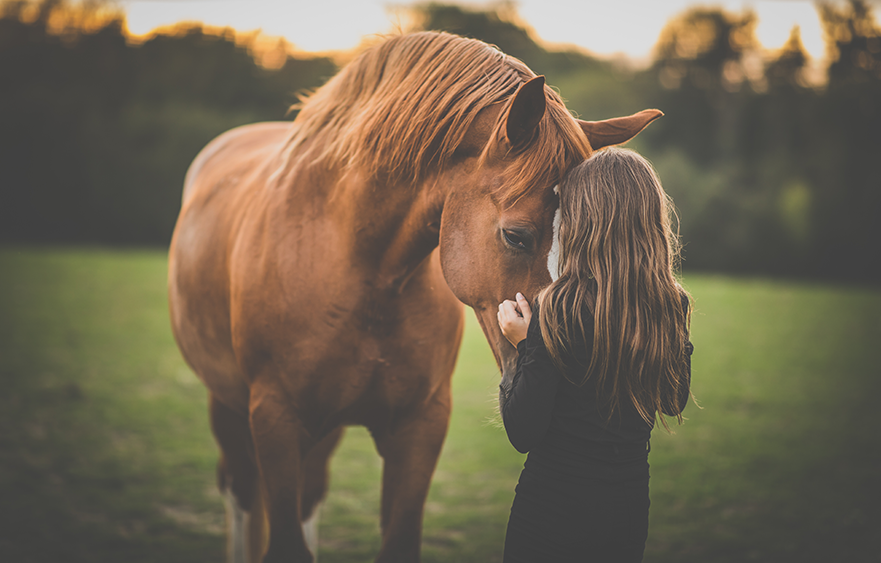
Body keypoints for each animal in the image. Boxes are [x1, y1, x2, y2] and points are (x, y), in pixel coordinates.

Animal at [168, 31, 660, 563]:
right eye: (516, 236)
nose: (575, 374)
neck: (357, 267)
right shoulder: (275, 420)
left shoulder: (420, 425)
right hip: (230, 406)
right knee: (241, 494)